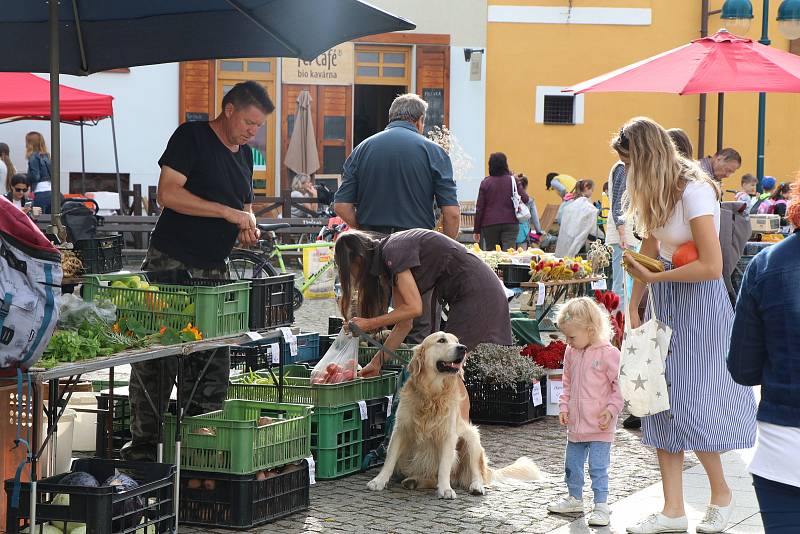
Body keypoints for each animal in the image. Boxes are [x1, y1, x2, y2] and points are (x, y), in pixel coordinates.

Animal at [366, 332, 540, 500]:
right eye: (441, 340)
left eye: (457, 341)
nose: (463, 348)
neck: (432, 394)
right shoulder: (400, 429)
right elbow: (389, 459)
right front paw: (379, 481)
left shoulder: (448, 435)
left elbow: (444, 467)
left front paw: (446, 489)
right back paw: (414, 481)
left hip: (472, 438)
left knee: (475, 473)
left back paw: (476, 487)